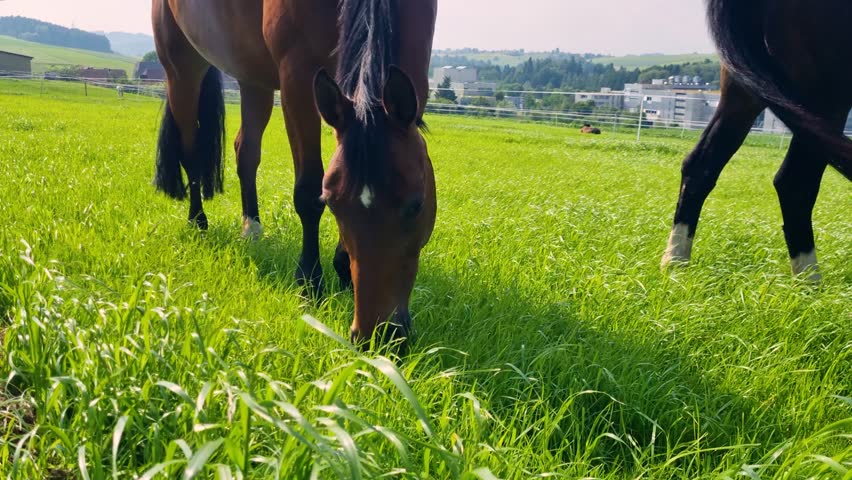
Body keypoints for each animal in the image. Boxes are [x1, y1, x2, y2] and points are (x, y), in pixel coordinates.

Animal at [151, 0, 438, 345]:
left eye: (416, 205)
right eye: (333, 205)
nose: (375, 336)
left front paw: (343, 269)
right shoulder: (297, 76)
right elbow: (307, 193)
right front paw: (310, 282)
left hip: (253, 77)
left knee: (246, 151)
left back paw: (252, 228)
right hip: (182, 69)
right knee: (191, 152)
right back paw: (198, 221)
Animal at [662, 0, 852, 281]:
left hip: (742, 91)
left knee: (700, 166)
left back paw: (675, 263)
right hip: (827, 95)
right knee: (795, 182)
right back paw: (810, 283)